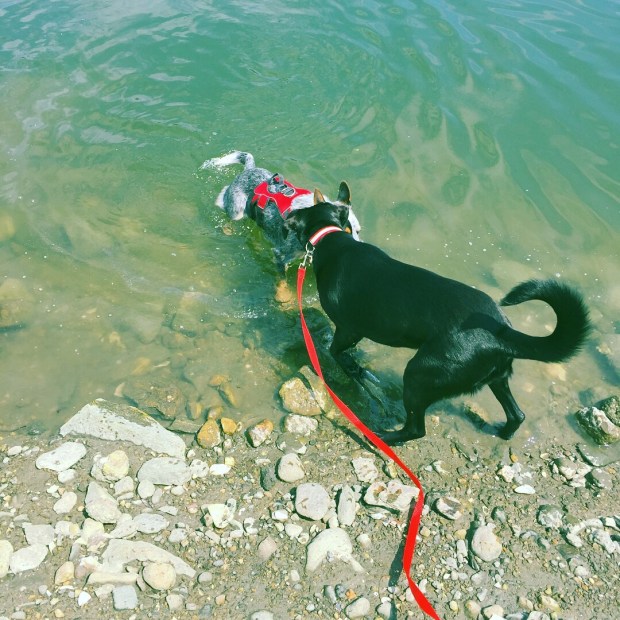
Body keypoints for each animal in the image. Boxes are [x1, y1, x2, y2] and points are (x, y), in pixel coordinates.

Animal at [285, 192, 591, 445]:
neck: (332, 238)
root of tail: (502, 331)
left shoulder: (349, 329)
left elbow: (336, 351)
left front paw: (353, 369)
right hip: (497, 378)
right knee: (517, 415)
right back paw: (501, 433)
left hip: (420, 374)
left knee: (416, 429)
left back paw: (383, 437)